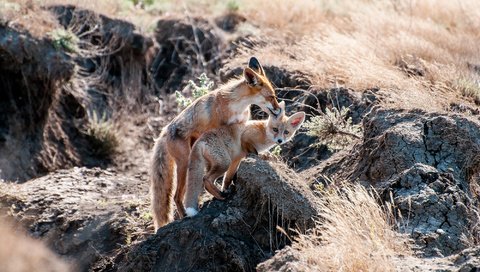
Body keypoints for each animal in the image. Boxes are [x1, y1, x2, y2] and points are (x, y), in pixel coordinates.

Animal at [148, 56, 280, 230]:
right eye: (271, 97)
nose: (279, 110)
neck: (237, 106)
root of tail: (164, 131)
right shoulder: (220, 129)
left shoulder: (240, 126)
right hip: (184, 164)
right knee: (177, 196)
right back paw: (184, 216)